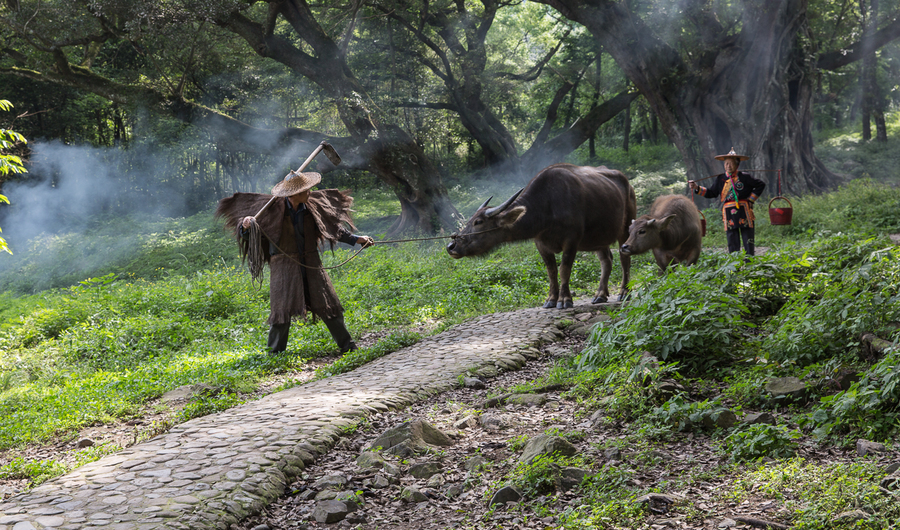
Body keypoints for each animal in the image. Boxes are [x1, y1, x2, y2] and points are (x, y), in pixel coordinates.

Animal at [446, 163, 636, 308]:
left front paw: (564, 300)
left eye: (478, 222)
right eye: (470, 219)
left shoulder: (571, 240)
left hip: (626, 227)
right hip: (598, 238)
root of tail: (627, 183)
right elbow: (551, 271)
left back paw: (624, 292)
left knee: (624, 258)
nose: (451, 246)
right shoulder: (541, 244)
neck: (547, 207)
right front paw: (551, 299)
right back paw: (600, 295)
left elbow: (564, 269)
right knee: (606, 260)